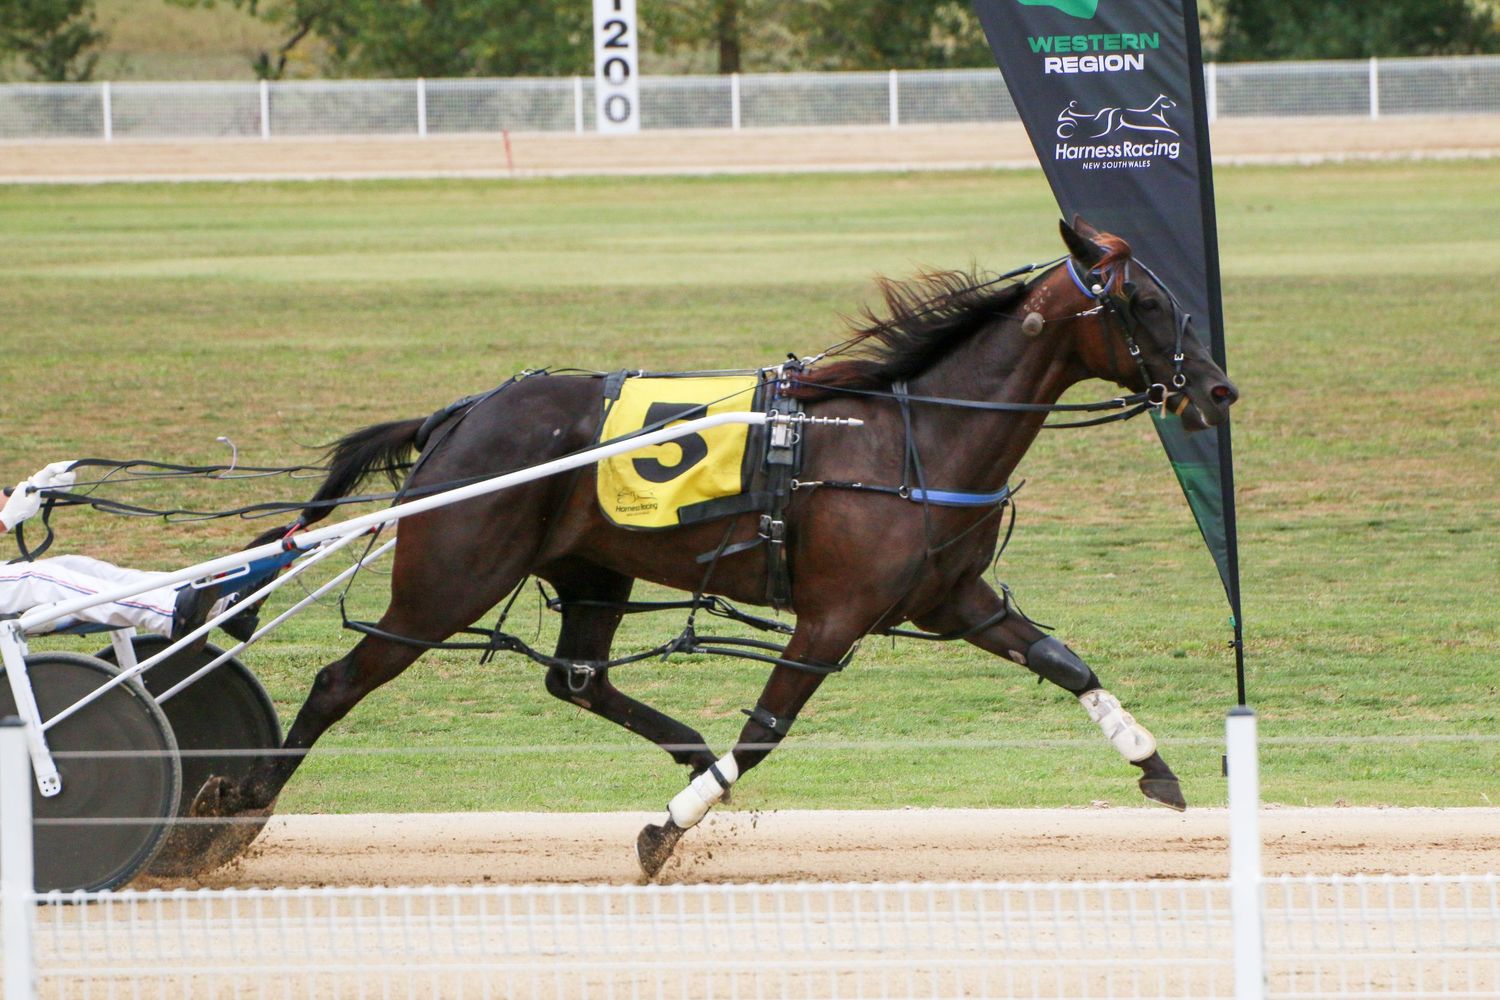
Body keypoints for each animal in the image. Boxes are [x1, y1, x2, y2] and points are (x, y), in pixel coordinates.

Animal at [191, 216, 1238, 878]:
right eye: (1145, 304)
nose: (1218, 390)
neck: (913, 439)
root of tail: (464, 414)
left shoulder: (954, 599)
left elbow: (1063, 660)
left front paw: (1153, 763)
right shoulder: (833, 615)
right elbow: (768, 728)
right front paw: (668, 830)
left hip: (591, 573)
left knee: (576, 680)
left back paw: (686, 750)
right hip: (448, 582)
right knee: (340, 682)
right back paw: (234, 814)